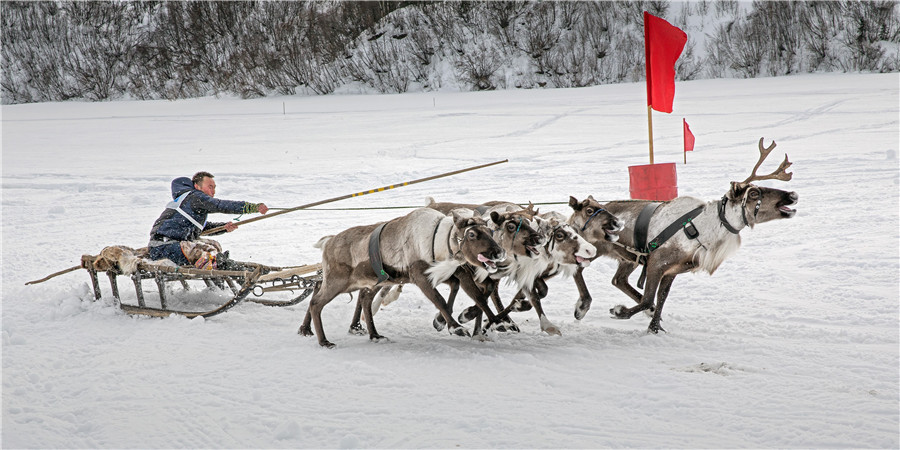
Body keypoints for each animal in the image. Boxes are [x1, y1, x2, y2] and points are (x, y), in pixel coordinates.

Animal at [297, 207, 506, 348]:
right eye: (472, 234)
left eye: (490, 231)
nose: (499, 252)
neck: (438, 242)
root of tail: (328, 242)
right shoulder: (420, 276)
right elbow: (439, 299)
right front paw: (455, 327)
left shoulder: (453, 273)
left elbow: (475, 297)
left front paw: (497, 322)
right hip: (339, 281)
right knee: (317, 301)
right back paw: (323, 340)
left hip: (362, 282)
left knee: (347, 294)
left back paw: (372, 335)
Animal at [570, 138, 798, 333]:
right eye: (753, 193)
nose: (792, 195)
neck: (704, 230)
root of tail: (576, 214)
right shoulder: (657, 262)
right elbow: (649, 298)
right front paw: (620, 311)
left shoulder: (672, 270)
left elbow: (661, 298)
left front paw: (655, 328)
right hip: (594, 247)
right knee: (578, 269)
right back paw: (582, 306)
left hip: (629, 258)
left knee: (618, 280)